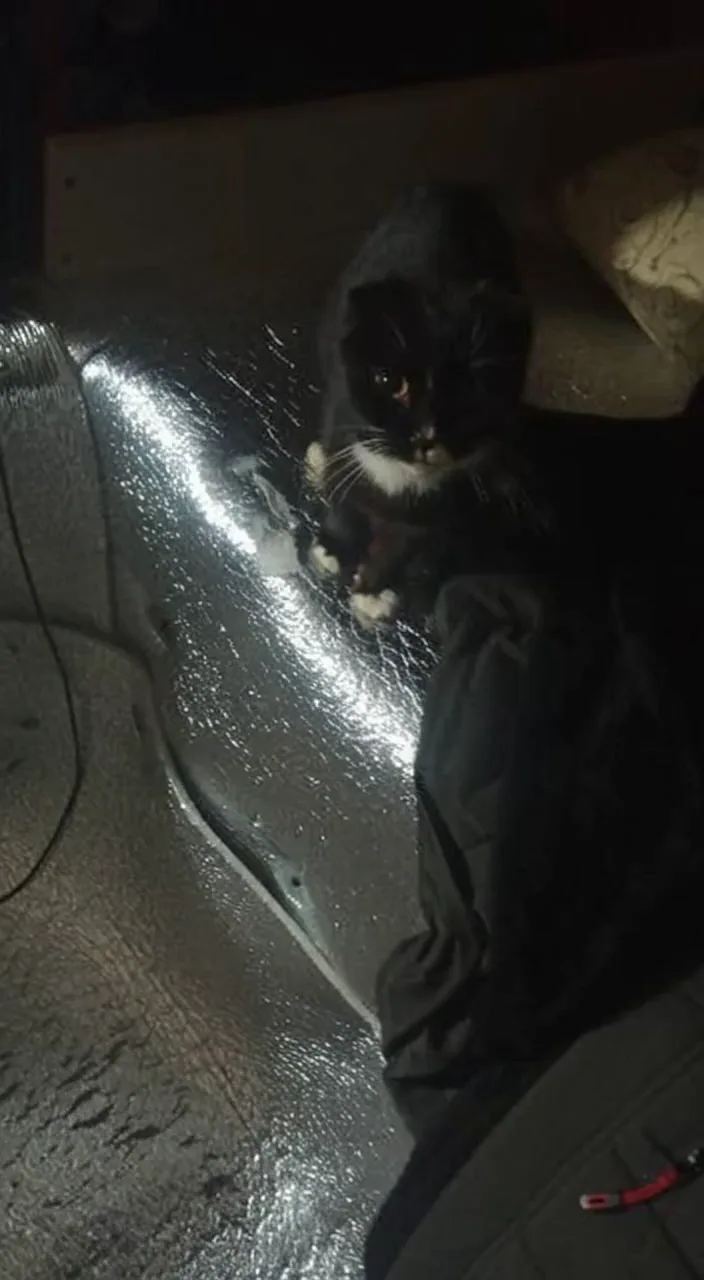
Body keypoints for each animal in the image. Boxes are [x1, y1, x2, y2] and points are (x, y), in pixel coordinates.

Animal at [305, 181, 534, 627]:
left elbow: (406, 543)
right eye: (389, 382)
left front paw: (374, 589)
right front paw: (334, 548)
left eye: (471, 390)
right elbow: (344, 500)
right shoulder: (343, 420)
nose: (426, 436)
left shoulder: (434, 509)